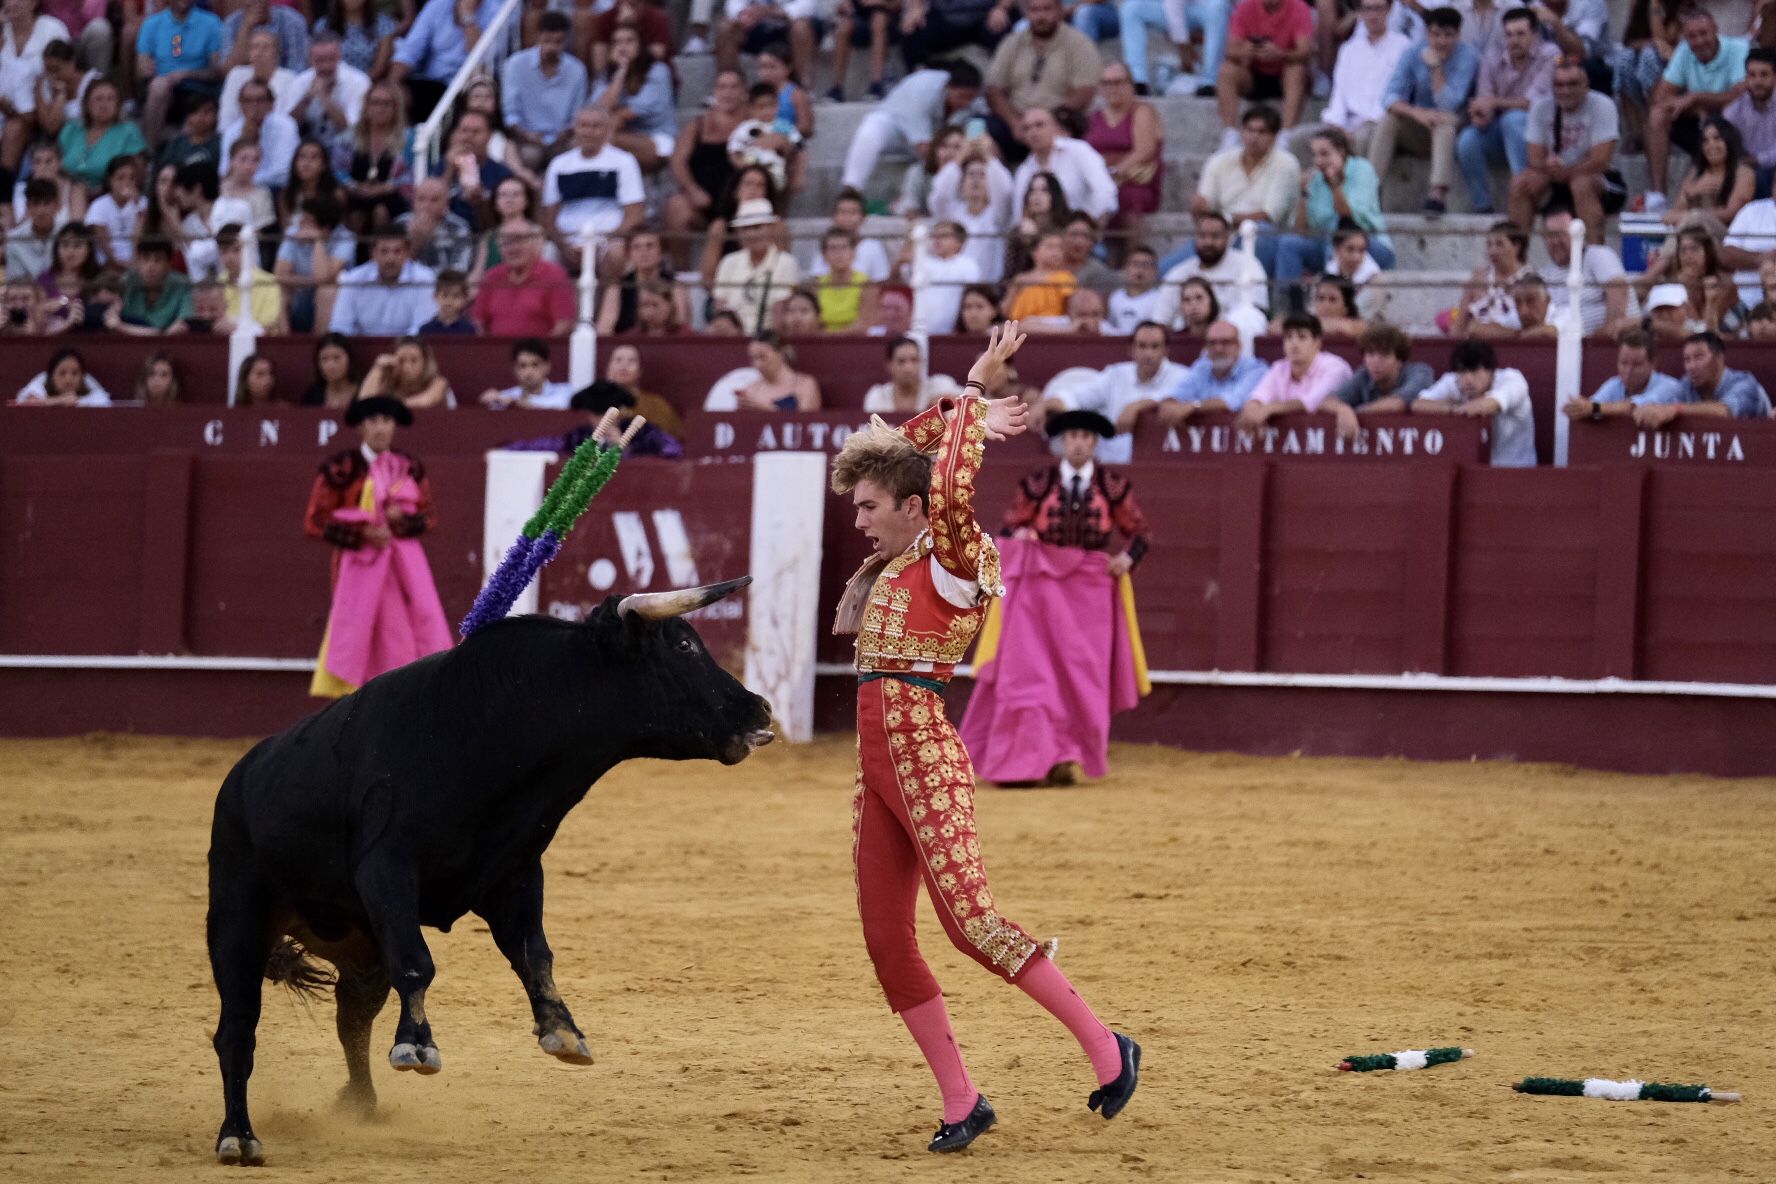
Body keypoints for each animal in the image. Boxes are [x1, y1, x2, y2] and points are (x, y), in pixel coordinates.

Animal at [203, 582, 770, 1164]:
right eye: (683, 645)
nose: (759, 709)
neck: (490, 731)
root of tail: (239, 779)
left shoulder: (514, 874)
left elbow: (534, 954)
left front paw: (563, 1032)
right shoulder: (388, 869)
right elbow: (418, 963)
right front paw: (417, 1046)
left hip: (361, 950)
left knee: (352, 1019)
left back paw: (361, 1108)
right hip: (238, 922)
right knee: (237, 1032)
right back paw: (239, 1137)